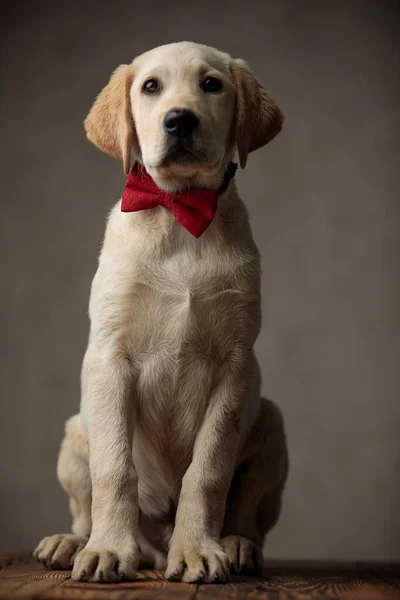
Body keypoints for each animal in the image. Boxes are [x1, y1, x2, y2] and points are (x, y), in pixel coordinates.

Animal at [32, 41, 286, 580]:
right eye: (151, 87)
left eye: (211, 84)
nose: (180, 120)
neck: (179, 215)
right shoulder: (111, 359)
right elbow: (115, 469)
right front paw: (109, 550)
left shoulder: (234, 366)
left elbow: (208, 473)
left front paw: (197, 550)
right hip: (73, 437)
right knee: (85, 507)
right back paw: (74, 542)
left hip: (272, 424)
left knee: (248, 512)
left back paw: (234, 544)